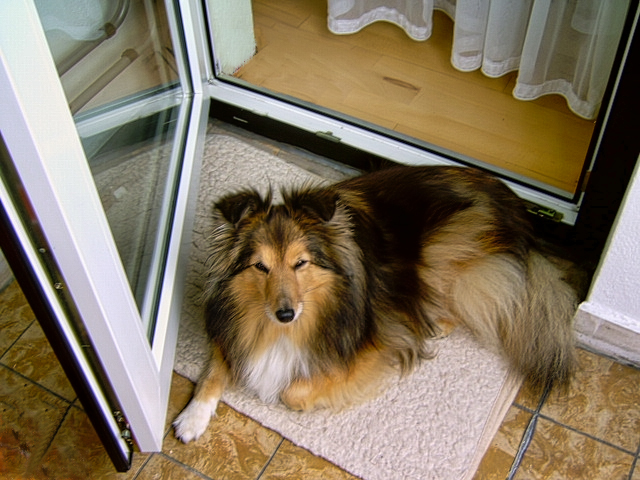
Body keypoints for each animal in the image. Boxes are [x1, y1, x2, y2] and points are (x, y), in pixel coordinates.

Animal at [172, 165, 576, 442]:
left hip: (446, 252)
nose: (285, 314)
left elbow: (292, 391)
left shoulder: (377, 345)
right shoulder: (230, 332)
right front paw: (192, 418)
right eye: (261, 267)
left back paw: (435, 322)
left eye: (301, 263)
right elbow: (214, 371)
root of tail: (514, 203)